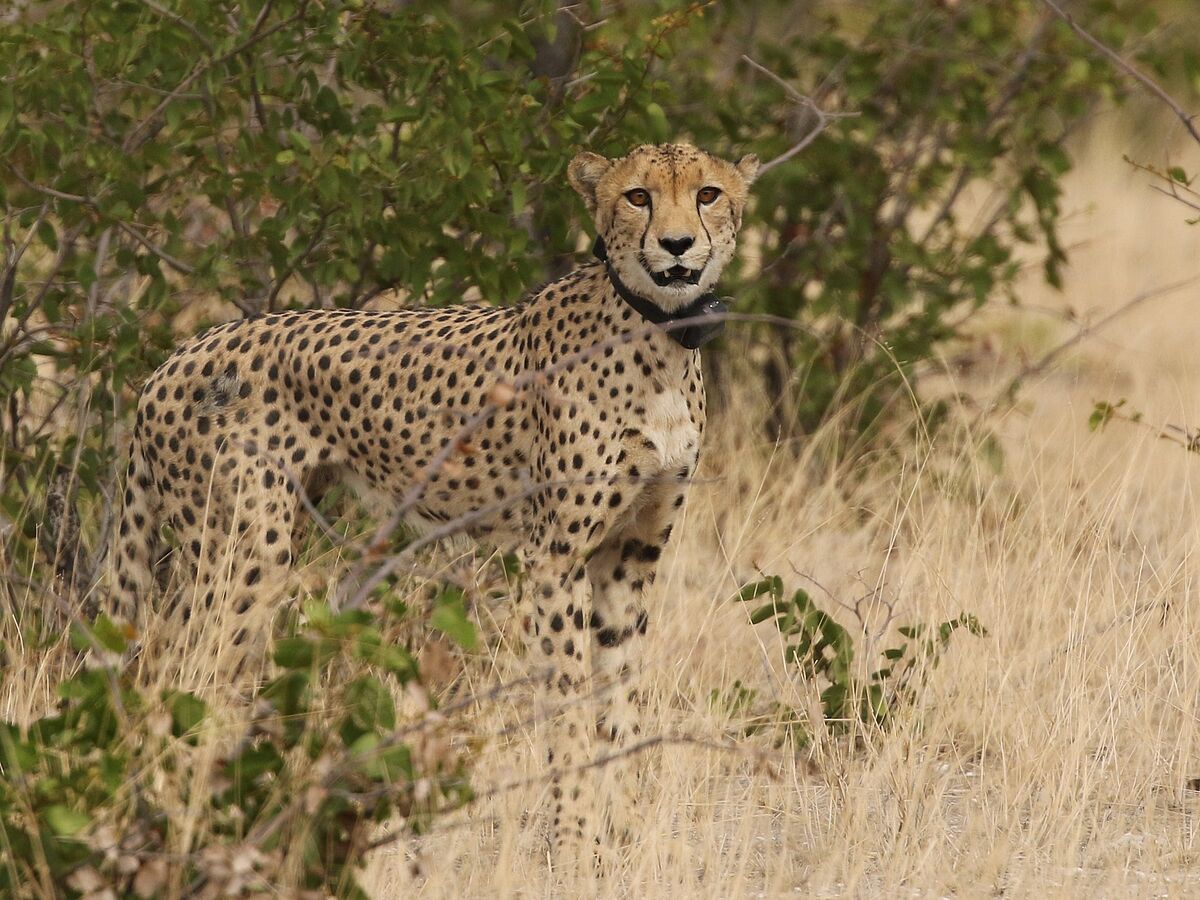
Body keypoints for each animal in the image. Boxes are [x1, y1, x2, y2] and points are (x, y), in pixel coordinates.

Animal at [114, 142, 758, 868]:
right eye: (638, 196)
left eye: (707, 193)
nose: (677, 245)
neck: (660, 337)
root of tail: (173, 358)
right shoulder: (554, 560)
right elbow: (565, 702)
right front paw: (571, 839)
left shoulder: (630, 557)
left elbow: (618, 704)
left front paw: (619, 840)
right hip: (245, 553)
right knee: (177, 674)